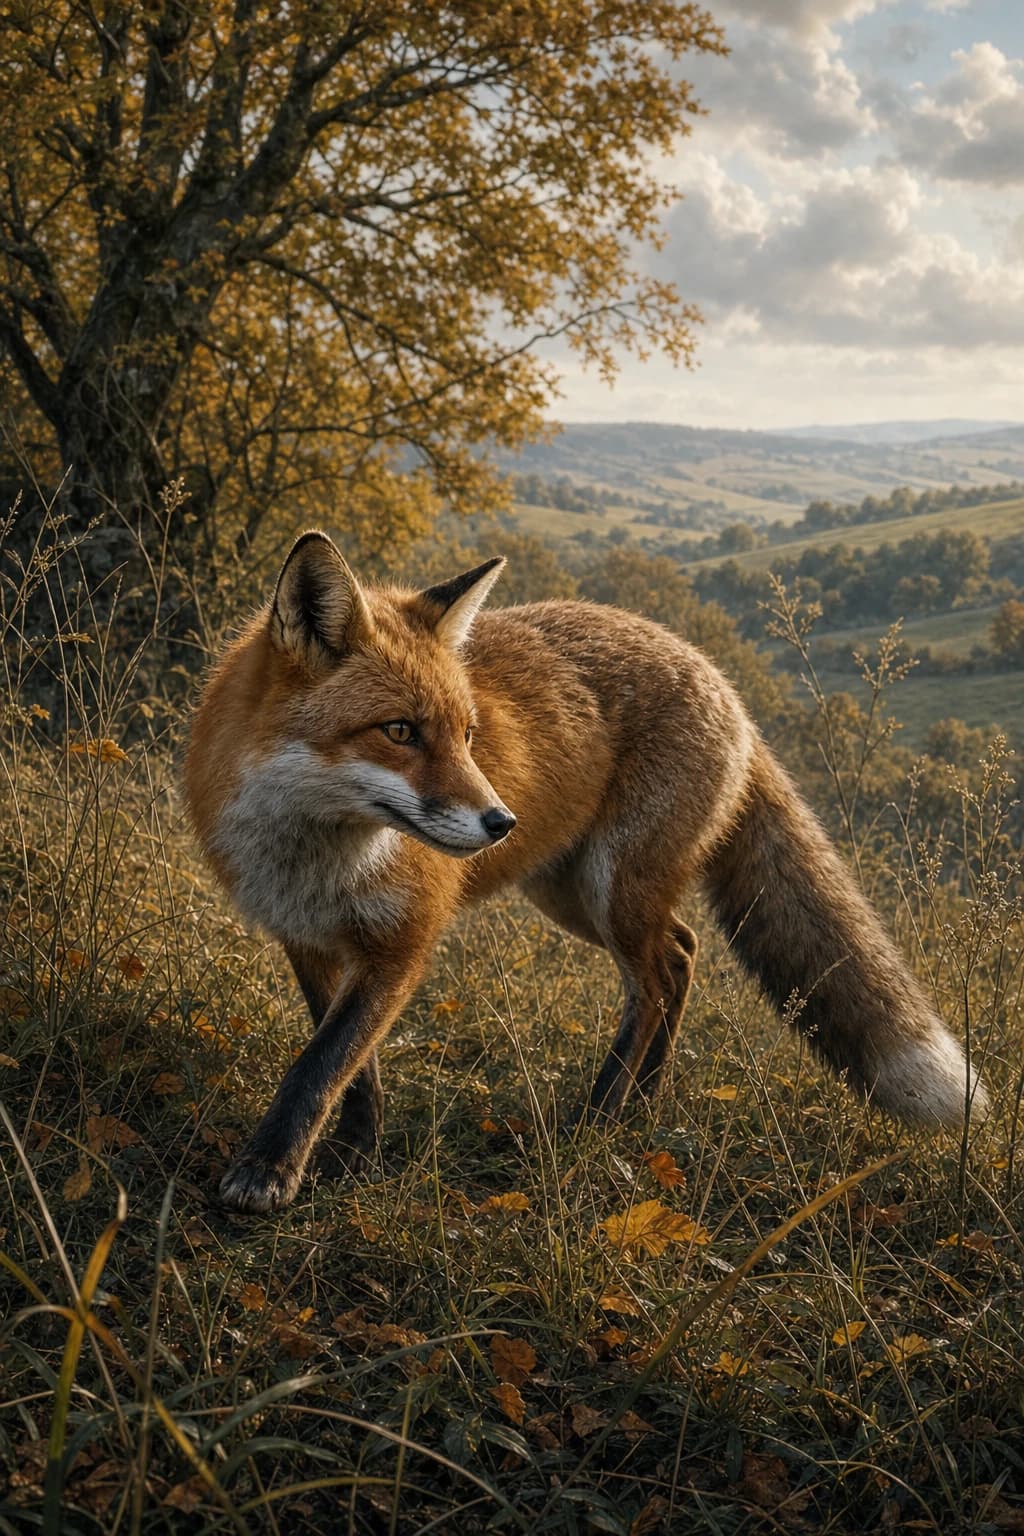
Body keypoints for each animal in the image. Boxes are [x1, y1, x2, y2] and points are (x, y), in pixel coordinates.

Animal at [185, 530, 989, 1213]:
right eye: (400, 731)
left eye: (468, 735)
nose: (500, 822)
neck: (318, 856)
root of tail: (721, 680)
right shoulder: (310, 940)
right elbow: (350, 1067)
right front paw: (353, 1155)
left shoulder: (403, 943)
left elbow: (321, 1066)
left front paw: (271, 1171)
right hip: (570, 895)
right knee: (682, 953)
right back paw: (645, 1102)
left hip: (612, 890)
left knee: (657, 978)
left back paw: (599, 1119)